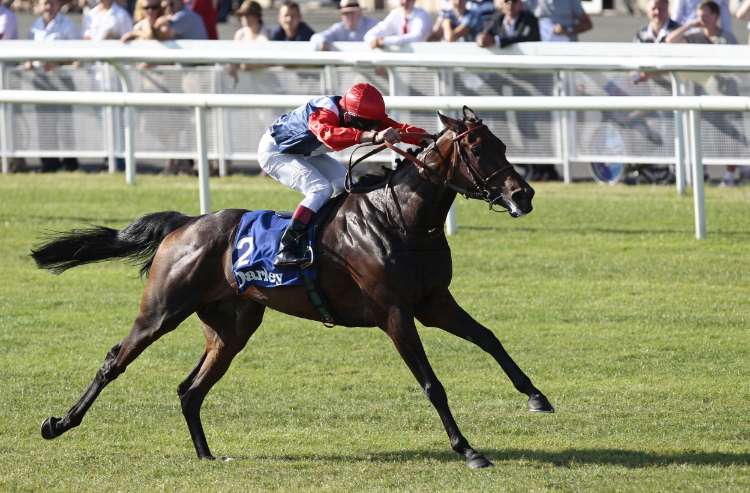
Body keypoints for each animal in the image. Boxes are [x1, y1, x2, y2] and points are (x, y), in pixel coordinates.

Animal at [31, 107, 553, 469]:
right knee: (114, 360)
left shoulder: (433, 302)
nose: (523, 194)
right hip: (161, 311)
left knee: (189, 389)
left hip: (232, 328)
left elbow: (489, 338)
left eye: (503, 144)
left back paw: (206, 455)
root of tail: (185, 224)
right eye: (480, 150)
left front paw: (536, 397)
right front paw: (468, 450)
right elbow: (432, 383)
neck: (398, 219)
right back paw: (58, 424)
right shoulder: (395, 314)